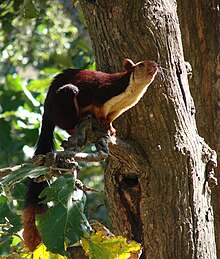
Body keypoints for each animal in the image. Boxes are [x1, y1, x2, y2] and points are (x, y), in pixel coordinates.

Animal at [22, 58, 158, 252]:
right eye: (141, 65)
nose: (155, 66)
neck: (130, 92)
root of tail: (46, 109)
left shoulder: (119, 109)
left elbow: (111, 118)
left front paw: (111, 128)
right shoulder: (104, 94)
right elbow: (99, 109)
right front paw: (103, 124)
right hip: (65, 98)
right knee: (66, 121)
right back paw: (77, 123)